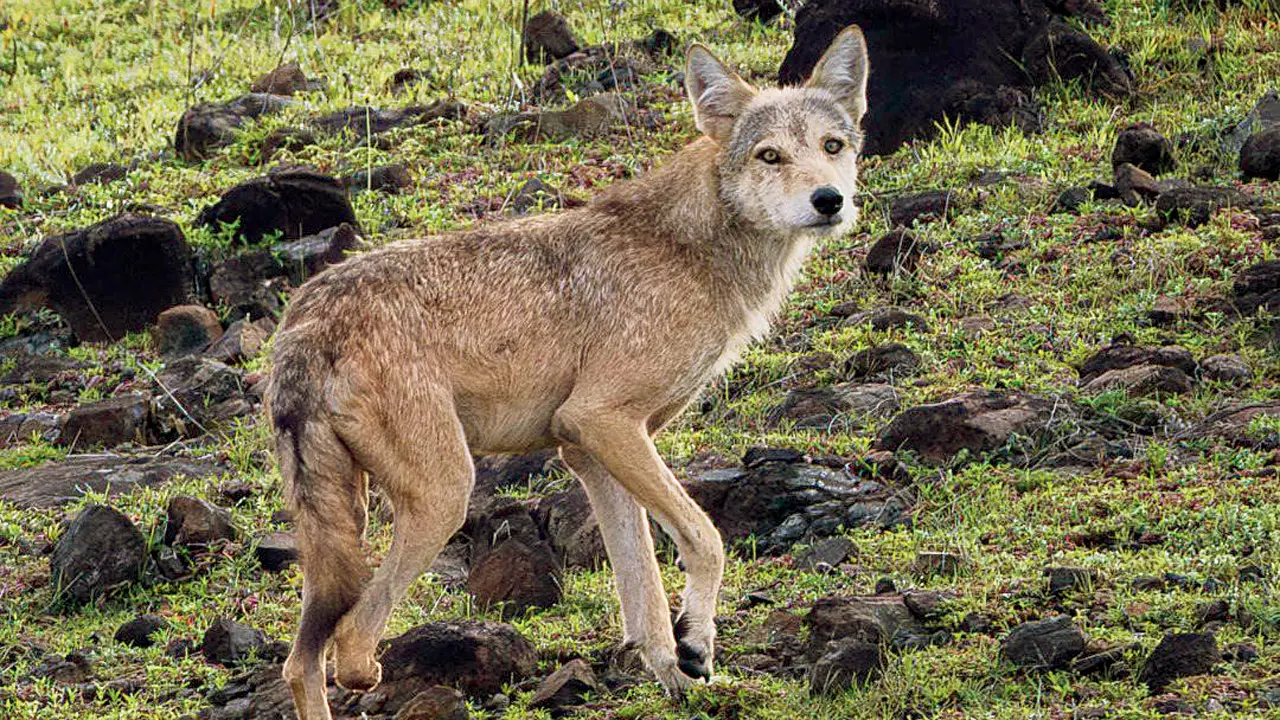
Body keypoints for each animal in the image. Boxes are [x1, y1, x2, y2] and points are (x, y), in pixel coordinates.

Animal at [266, 25, 869, 720]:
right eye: (770, 156)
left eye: (832, 147)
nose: (829, 201)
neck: (691, 249)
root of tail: (305, 318)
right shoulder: (602, 421)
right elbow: (705, 540)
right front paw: (698, 645)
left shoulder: (590, 449)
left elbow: (643, 594)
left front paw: (676, 677)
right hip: (445, 496)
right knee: (351, 645)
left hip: (348, 522)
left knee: (300, 662)